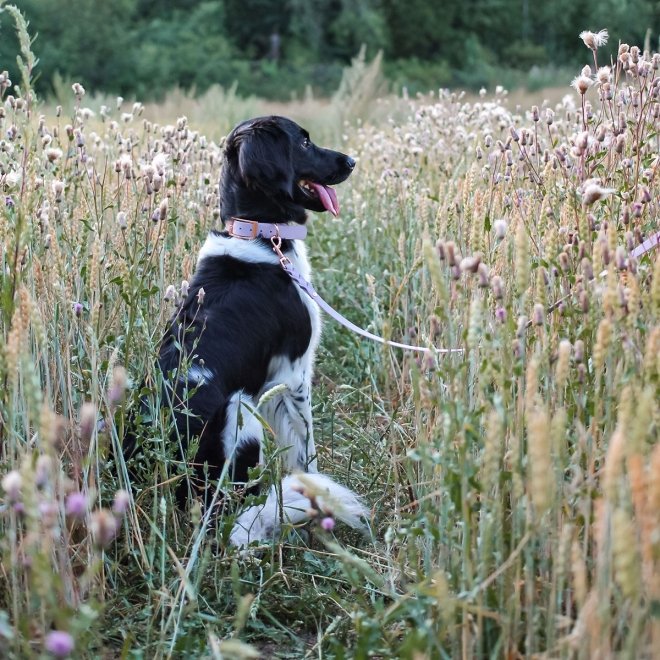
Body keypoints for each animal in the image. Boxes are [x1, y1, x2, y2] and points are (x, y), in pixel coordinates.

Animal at [158, 116, 368, 544]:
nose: (352, 161)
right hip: (239, 410)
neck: (259, 235)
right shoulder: (293, 374)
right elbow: (307, 454)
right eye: (303, 142)